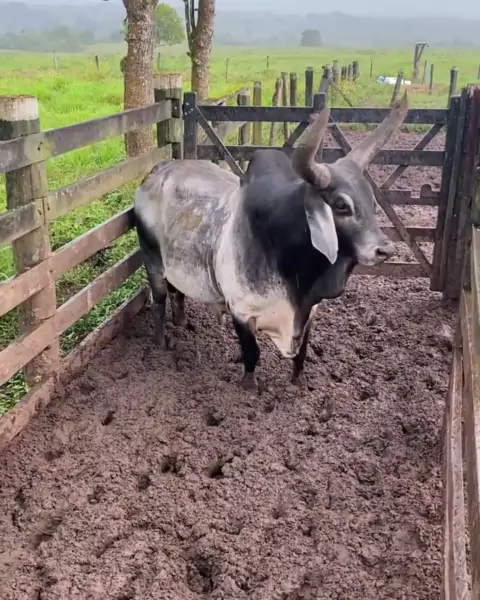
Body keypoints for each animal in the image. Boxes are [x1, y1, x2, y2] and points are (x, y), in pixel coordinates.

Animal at [133, 93, 408, 392]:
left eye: (372, 202)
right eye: (341, 205)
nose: (384, 249)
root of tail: (158, 170)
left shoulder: (310, 313)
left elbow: (301, 353)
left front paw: (298, 381)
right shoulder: (242, 311)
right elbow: (252, 353)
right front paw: (249, 386)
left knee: (178, 294)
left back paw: (183, 324)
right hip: (152, 260)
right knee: (159, 300)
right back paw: (162, 344)